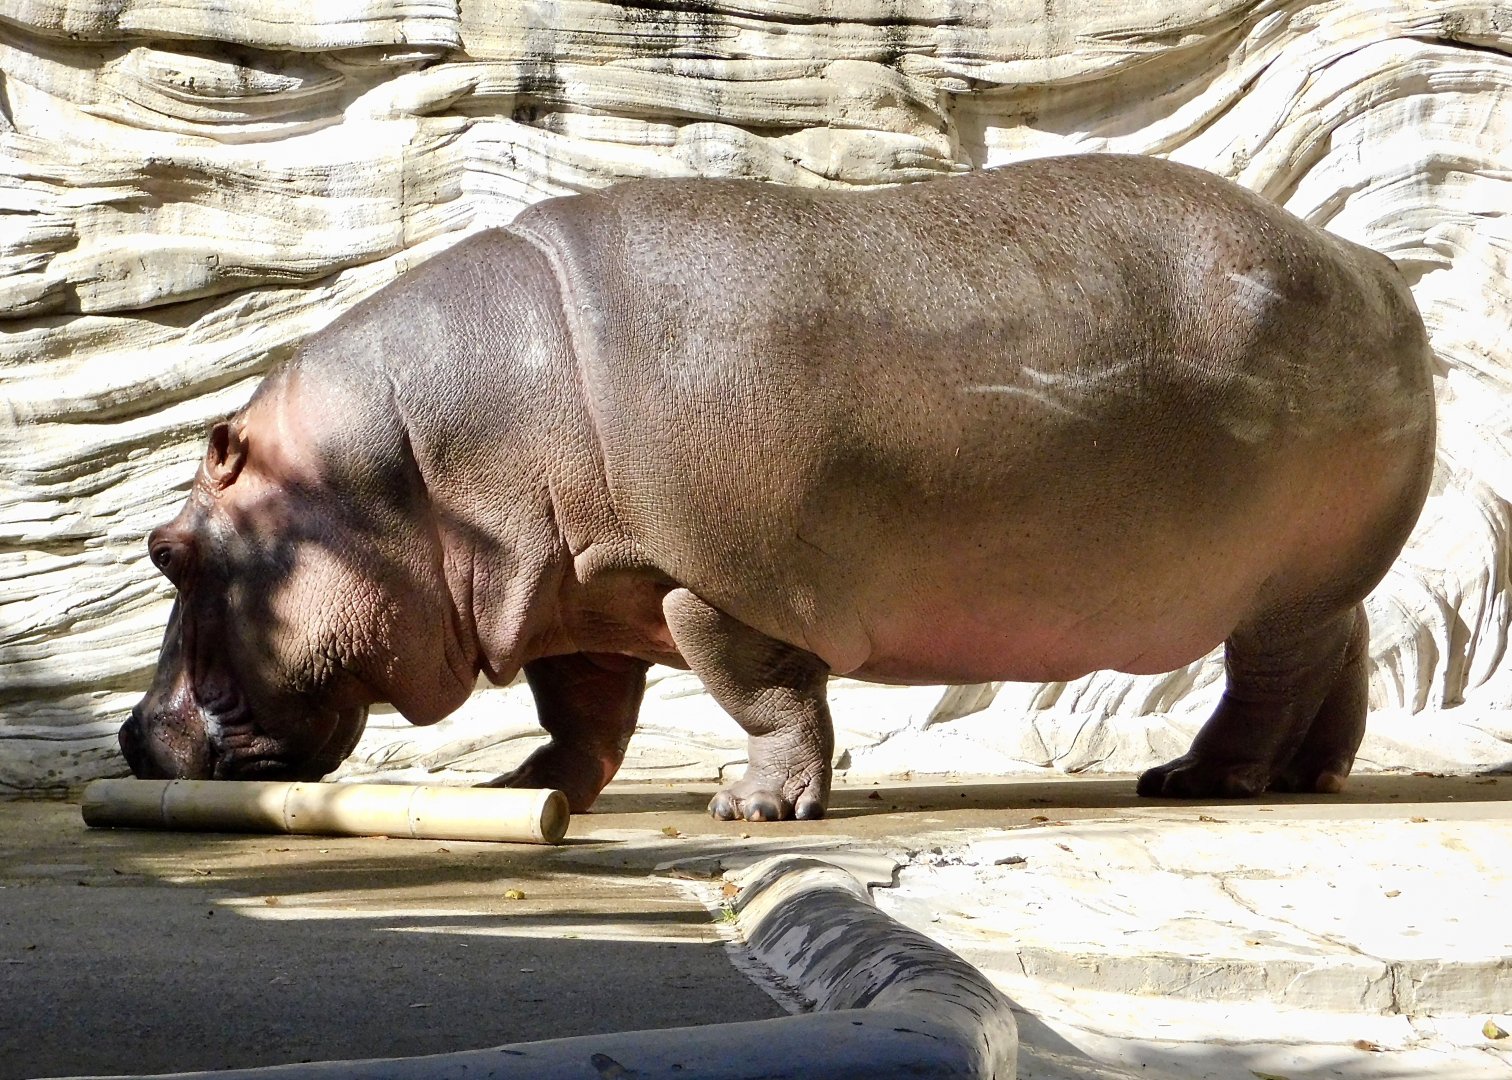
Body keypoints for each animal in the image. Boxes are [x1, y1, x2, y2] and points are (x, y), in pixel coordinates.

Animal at [120, 153, 1436, 821]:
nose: (134, 735)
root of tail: (1371, 264)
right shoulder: (574, 587)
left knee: (1267, 678)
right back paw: (1314, 775)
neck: (403, 475)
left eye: (168, 552)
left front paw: (751, 807)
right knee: (1341, 645)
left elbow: (762, 695)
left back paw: (1201, 780)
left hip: (1275, 582)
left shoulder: (709, 582)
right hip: (1309, 577)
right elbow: (581, 707)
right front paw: (529, 784)